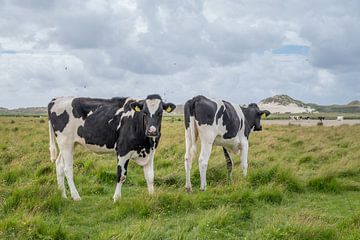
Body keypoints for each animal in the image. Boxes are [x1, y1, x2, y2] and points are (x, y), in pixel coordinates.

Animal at [48, 94, 176, 202]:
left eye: (160, 113)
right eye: (144, 112)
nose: (152, 131)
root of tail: (56, 99)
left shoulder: (150, 153)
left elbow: (150, 177)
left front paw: (152, 196)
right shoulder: (123, 151)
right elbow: (121, 175)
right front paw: (116, 198)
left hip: (69, 144)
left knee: (59, 164)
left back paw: (63, 195)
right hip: (65, 142)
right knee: (67, 169)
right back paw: (75, 196)